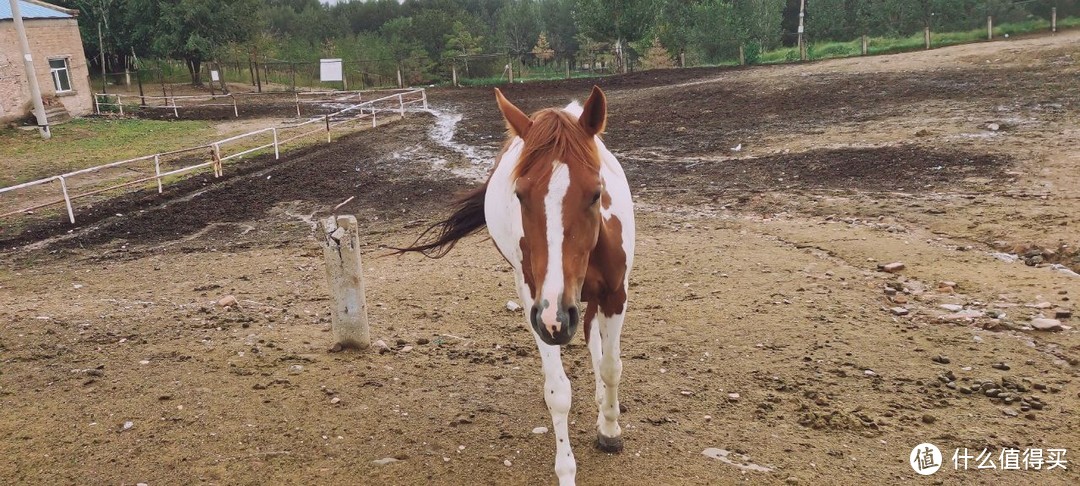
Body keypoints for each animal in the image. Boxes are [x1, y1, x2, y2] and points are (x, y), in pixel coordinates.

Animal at [395, 85, 630, 483]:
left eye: (596, 194)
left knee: (593, 339)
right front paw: (566, 470)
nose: (556, 317)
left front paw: (609, 428)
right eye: (520, 195)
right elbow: (558, 392)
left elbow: (611, 366)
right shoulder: (540, 306)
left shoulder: (614, 294)